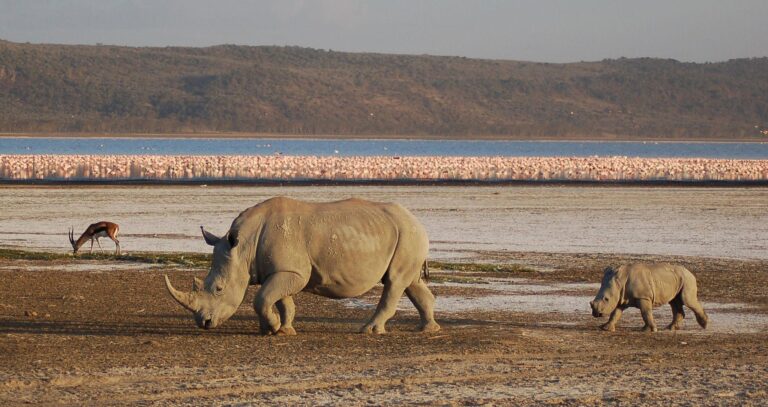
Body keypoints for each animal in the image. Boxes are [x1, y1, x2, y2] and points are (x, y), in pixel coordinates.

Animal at [164, 197, 440, 335]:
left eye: (219, 289)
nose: (204, 323)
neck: (243, 247)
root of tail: (416, 220)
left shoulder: (293, 271)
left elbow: (263, 298)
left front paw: (272, 328)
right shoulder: (282, 270)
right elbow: (280, 300)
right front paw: (281, 329)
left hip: (408, 234)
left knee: (394, 282)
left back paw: (369, 331)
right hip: (405, 234)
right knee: (410, 282)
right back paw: (427, 329)